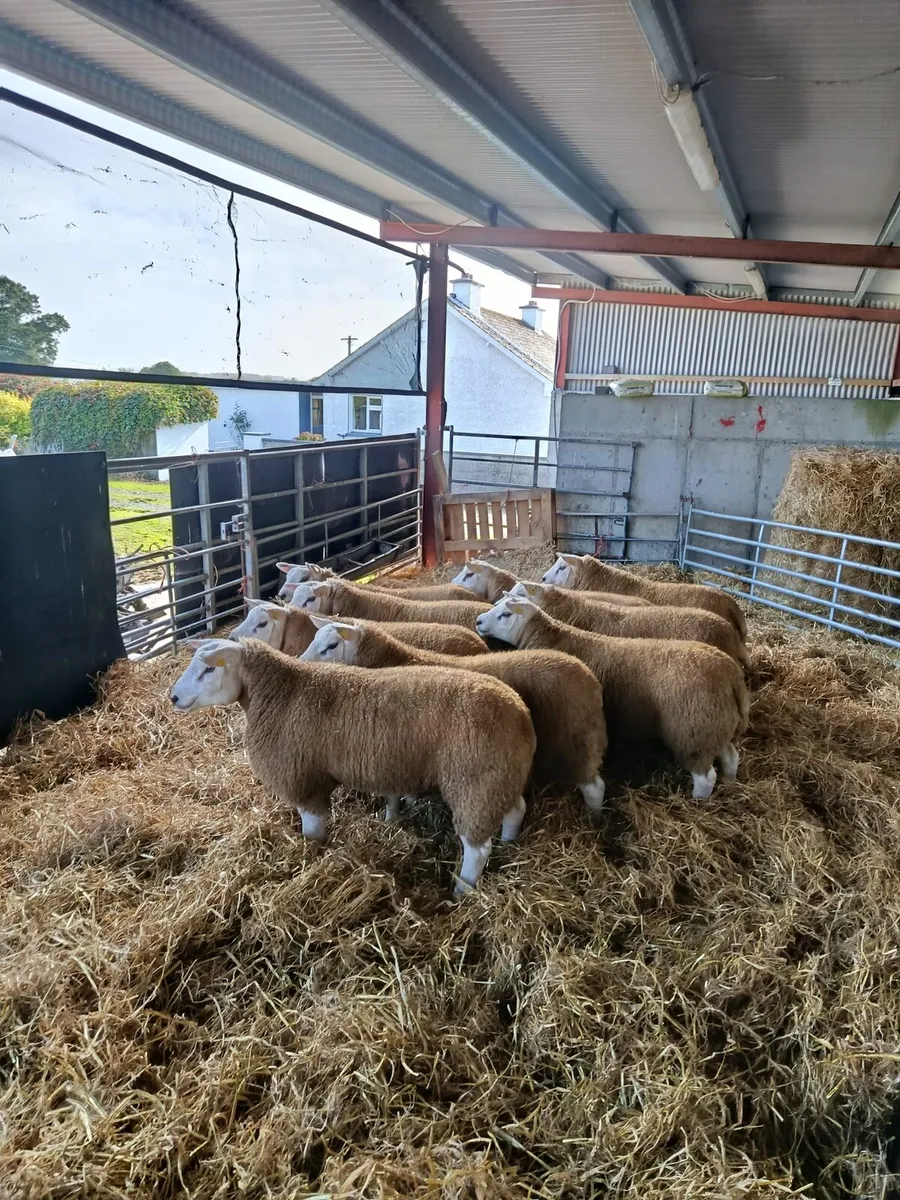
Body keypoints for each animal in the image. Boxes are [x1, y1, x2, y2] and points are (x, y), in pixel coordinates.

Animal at [169, 637, 536, 895]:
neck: (282, 693)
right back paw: (510, 843)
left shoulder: (304, 779)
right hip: (500, 776)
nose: (173, 697)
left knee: (477, 848)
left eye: (209, 669)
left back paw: (463, 889)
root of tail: (520, 712)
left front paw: (313, 856)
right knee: (516, 809)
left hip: (473, 782)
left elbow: (313, 830)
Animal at [302, 617, 607, 814]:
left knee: (594, 788)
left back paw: (595, 820)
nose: (300, 662)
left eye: (330, 647)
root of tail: (590, 680)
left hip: (574, 741)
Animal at [476, 596, 749, 800]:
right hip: (717, 724)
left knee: (705, 777)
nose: (478, 621)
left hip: (694, 730)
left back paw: (698, 801)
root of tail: (730, 673)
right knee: (731, 757)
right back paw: (730, 785)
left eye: (505, 615)